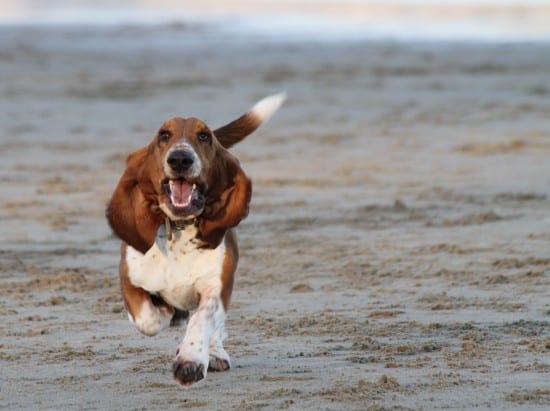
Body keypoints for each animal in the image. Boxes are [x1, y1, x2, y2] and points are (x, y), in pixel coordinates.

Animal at [106, 93, 284, 386]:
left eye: (204, 136)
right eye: (163, 135)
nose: (180, 158)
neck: (179, 230)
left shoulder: (217, 286)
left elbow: (203, 319)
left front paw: (190, 360)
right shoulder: (129, 278)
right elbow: (147, 318)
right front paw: (166, 312)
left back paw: (215, 354)